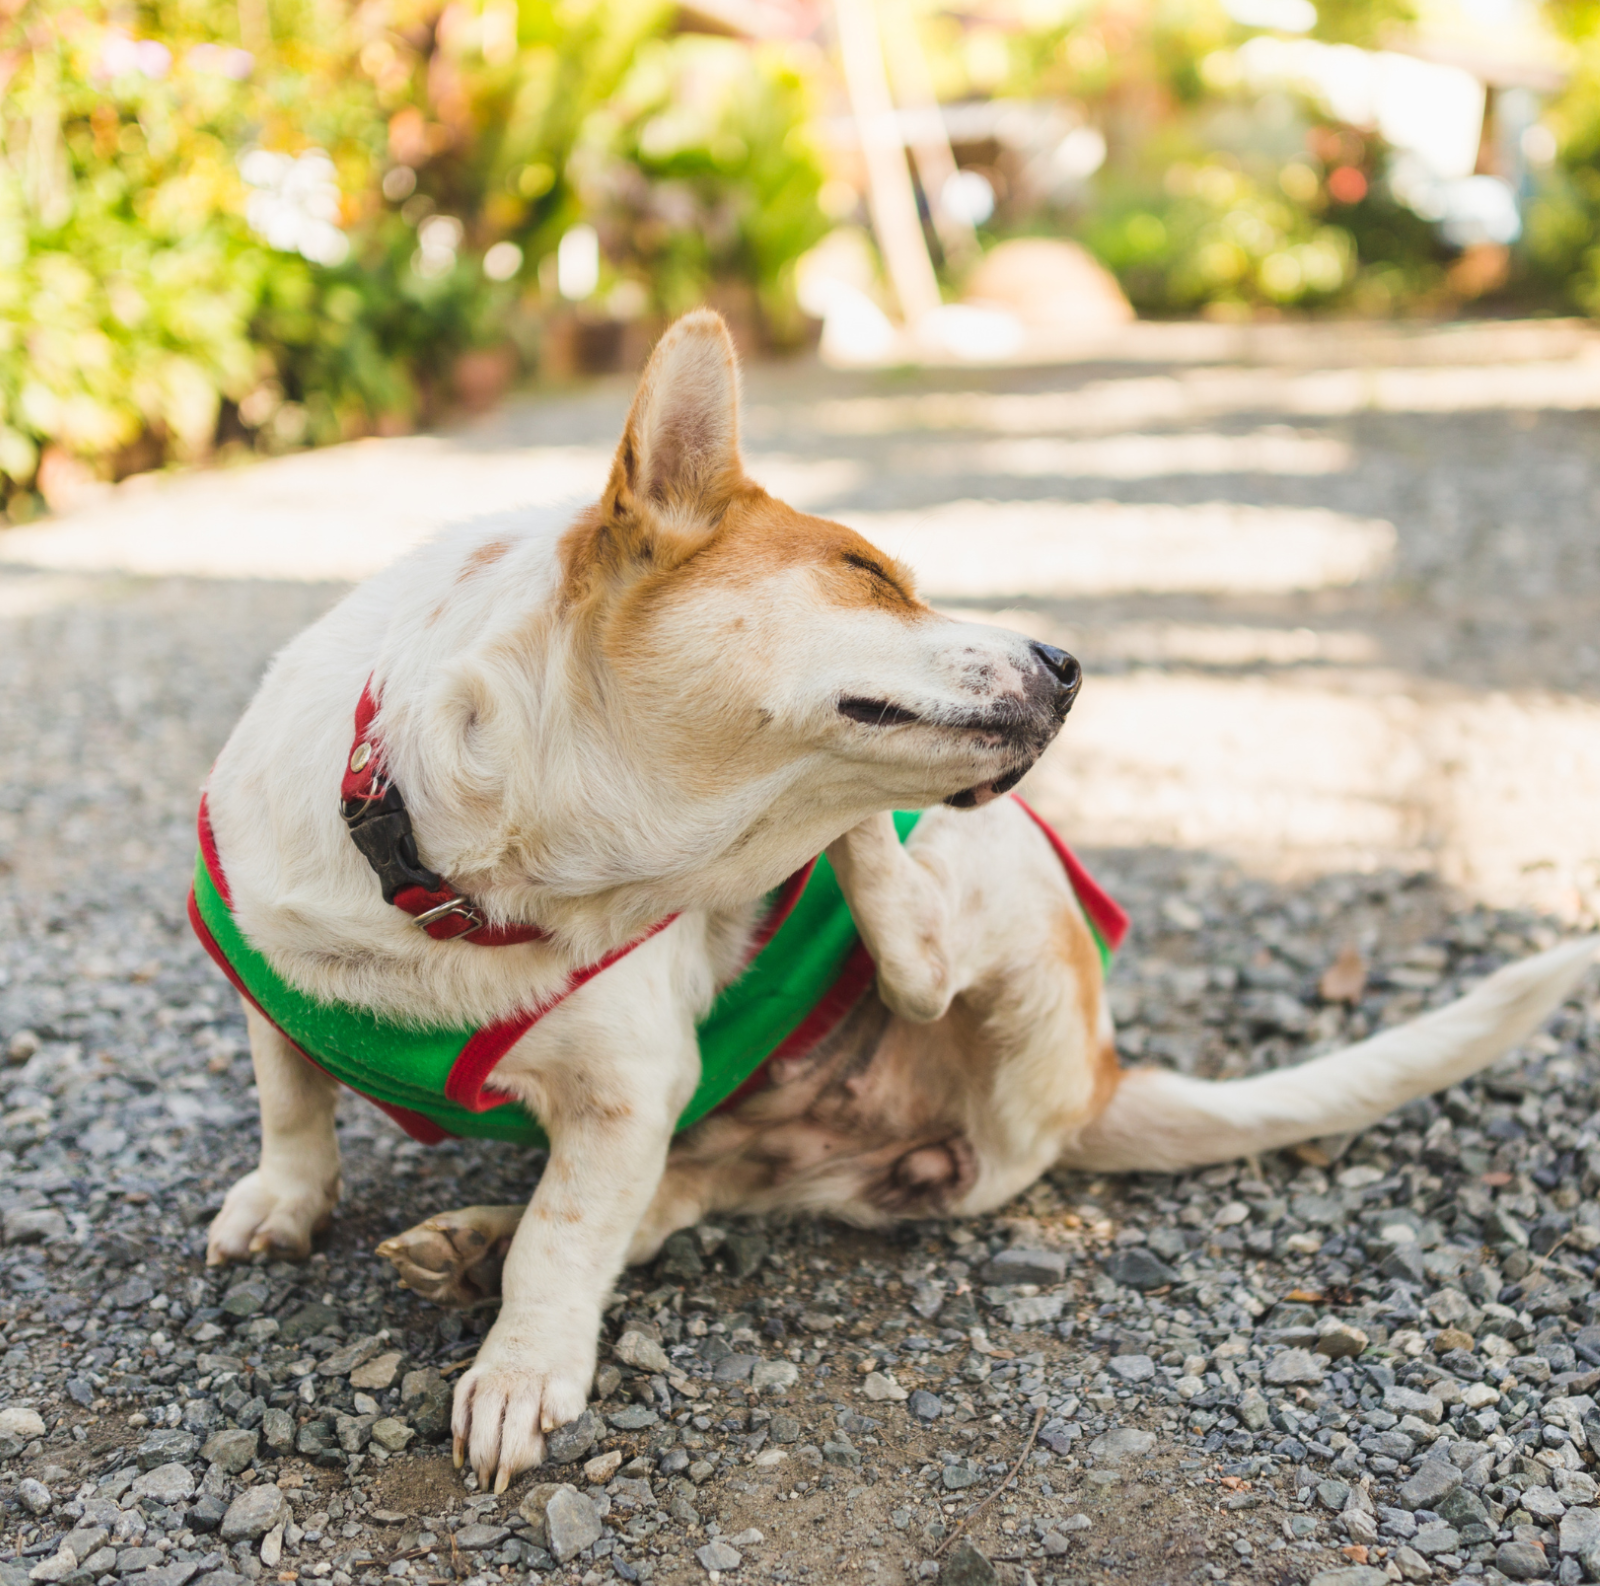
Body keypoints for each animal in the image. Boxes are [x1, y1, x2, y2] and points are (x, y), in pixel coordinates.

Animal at [200, 307, 1600, 1485]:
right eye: (869, 571)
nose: (1069, 662)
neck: (465, 876)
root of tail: (1100, 1072)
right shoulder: (274, 974)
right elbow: (293, 1097)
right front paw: (285, 1200)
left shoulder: (627, 1088)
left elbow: (569, 1234)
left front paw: (520, 1367)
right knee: (677, 1193)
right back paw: (472, 1236)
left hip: (1002, 879)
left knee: (912, 953)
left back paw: (851, 850)